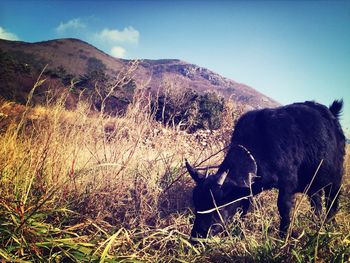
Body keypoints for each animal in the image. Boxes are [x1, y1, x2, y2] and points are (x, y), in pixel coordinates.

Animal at [186, 100, 344, 240]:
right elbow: (244, 206)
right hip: (313, 185)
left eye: (219, 206)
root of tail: (331, 114)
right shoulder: (248, 188)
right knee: (317, 203)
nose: (197, 236)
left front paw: (283, 236)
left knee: (332, 201)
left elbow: (283, 208)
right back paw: (317, 222)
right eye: (196, 204)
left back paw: (329, 225)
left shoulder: (288, 184)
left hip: (336, 178)